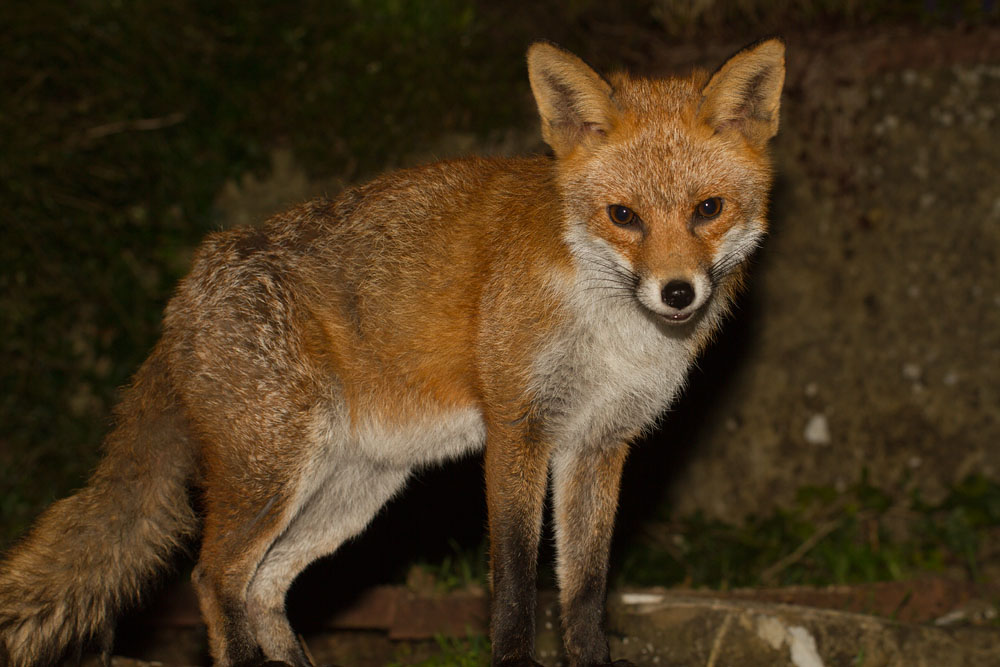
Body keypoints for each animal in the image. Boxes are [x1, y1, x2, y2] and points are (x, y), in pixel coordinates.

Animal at [0, 39, 784, 666]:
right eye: (623, 216)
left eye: (708, 209)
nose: (678, 293)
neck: (613, 332)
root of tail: (180, 303)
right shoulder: (519, 428)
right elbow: (514, 584)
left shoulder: (599, 444)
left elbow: (585, 594)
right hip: (274, 473)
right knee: (215, 578)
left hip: (354, 490)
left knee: (265, 586)